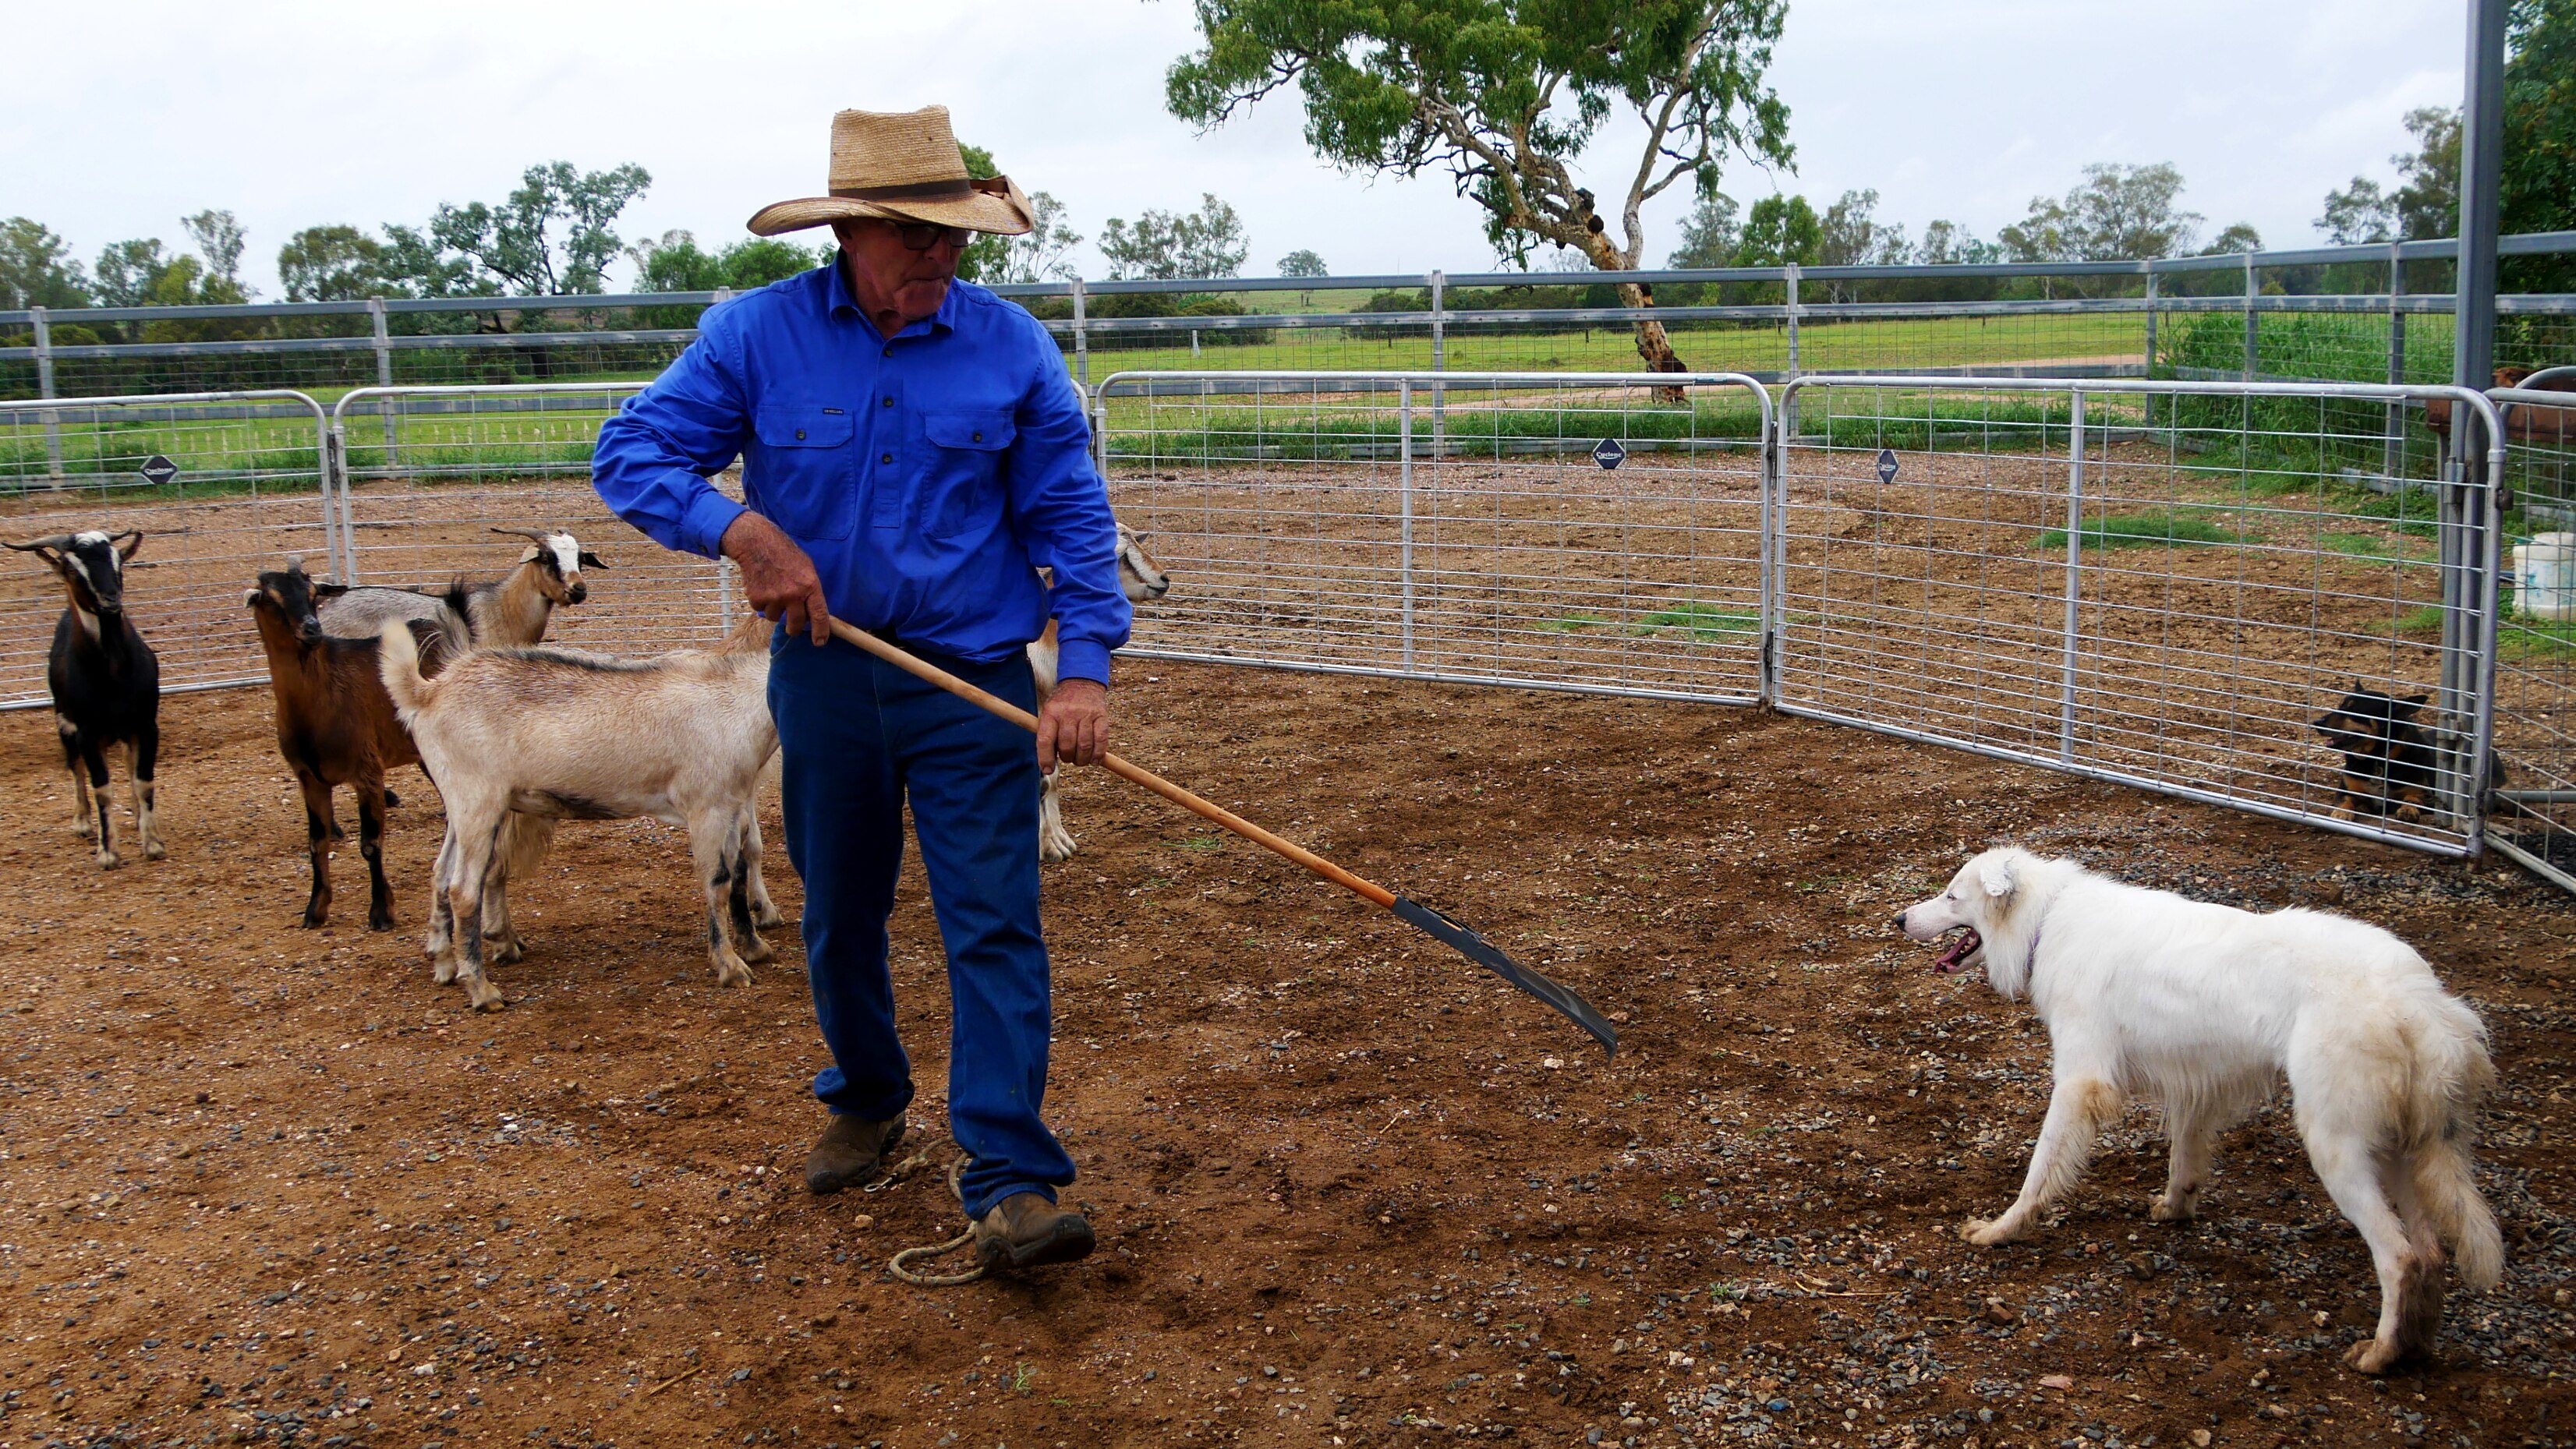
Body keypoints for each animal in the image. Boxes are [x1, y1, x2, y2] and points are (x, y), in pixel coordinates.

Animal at [7, 530, 162, 867]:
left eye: (119, 561)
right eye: (71, 568)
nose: (110, 599)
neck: (114, 674)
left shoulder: (145, 724)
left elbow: (143, 780)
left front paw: (153, 842)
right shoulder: (87, 732)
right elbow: (101, 788)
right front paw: (108, 853)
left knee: (127, 763)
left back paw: (134, 814)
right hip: (64, 723)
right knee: (75, 767)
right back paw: (82, 822)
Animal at [378, 613, 781, 1011]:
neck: (737, 705)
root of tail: (428, 693)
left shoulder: (733, 806)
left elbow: (739, 871)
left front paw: (754, 947)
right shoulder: (706, 809)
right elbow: (717, 883)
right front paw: (729, 965)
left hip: (461, 806)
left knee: (442, 873)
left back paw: (445, 963)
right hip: (478, 801)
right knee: (463, 889)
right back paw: (481, 989)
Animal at [1029, 522, 1171, 862]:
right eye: (1117, 557)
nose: (1163, 579)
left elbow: (1052, 777)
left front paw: (1060, 840)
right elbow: (1039, 780)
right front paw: (1045, 846)